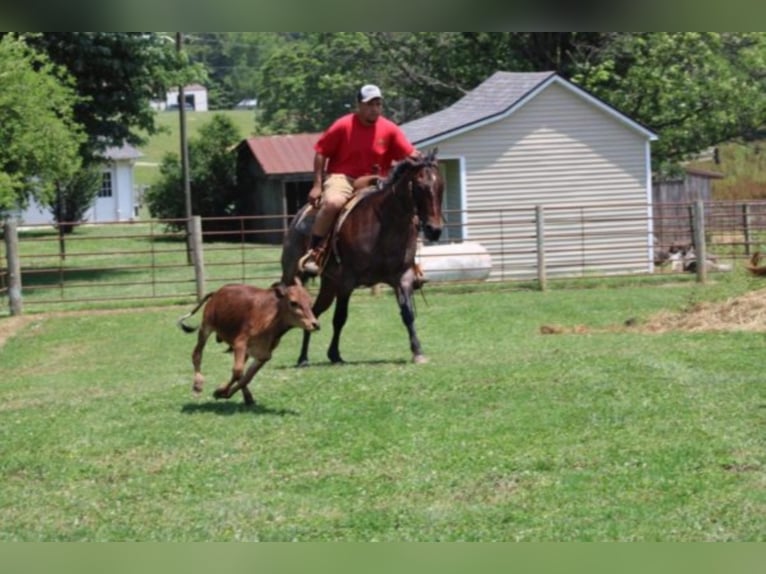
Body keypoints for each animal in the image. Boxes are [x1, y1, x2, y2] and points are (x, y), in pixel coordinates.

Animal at [178, 282, 320, 408]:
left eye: (310, 303)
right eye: (293, 302)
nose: (315, 324)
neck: (270, 322)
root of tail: (217, 292)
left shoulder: (263, 355)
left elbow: (246, 377)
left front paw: (227, 393)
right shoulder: (240, 343)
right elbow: (238, 371)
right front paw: (220, 391)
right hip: (205, 328)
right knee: (197, 354)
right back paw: (197, 385)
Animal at [282, 148, 444, 364]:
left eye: (440, 185)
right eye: (419, 186)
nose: (434, 230)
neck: (385, 225)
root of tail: (298, 219)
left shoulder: (402, 277)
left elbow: (408, 313)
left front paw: (418, 352)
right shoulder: (346, 281)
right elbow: (340, 318)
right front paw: (335, 354)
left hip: (329, 284)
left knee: (314, 312)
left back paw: (303, 357)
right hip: (292, 274)